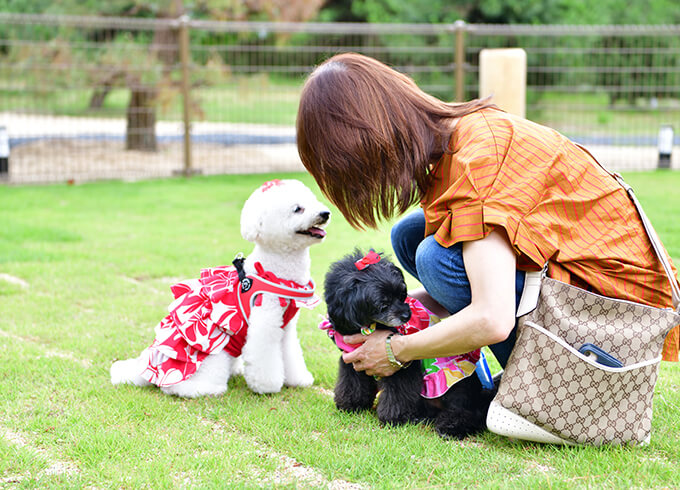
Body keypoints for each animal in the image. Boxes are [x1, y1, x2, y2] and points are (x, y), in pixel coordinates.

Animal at [111, 180, 330, 398]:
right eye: (298, 209)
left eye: (314, 201)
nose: (326, 213)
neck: (276, 271)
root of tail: (147, 366)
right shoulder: (265, 321)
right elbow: (264, 358)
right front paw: (267, 387)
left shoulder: (286, 327)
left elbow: (291, 354)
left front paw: (298, 379)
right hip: (213, 356)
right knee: (174, 387)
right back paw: (205, 388)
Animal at [322, 251, 496, 438]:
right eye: (383, 304)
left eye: (401, 295)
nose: (406, 315)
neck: (369, 326)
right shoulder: (351, 360)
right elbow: (351, 384)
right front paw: (351, 405)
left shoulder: (402, 368)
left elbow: (398, 394)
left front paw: (394, 418)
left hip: (455, 388)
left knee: (468, 412)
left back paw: (451, 427)